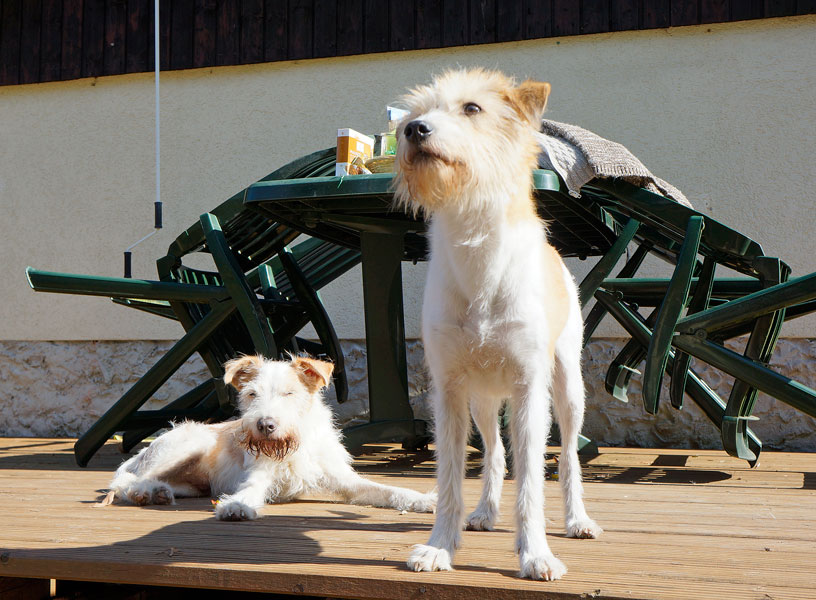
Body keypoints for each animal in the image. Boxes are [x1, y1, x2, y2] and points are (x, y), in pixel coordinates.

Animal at [109, 355, 436, 520]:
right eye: (252, 394)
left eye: (289, 394)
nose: (265, 425)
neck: (294, 445)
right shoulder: (259, 475)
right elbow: (251, 490)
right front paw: (237, 506)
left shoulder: (346, 481)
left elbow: (387, 489)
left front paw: (421, 499)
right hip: (189, 445)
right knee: (125, 482)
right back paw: (144, 492)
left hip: (192, 480)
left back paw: (159, 492)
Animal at [394, 68, 601, 580]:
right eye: (416, 112)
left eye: (472, 108)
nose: (413, 130)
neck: (478, 253)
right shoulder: (448, 390)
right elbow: (450, 476)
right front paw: (440, 546)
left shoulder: (530, 389)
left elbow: (532, 481)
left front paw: (535, 553)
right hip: (483, 400)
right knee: (494, 453)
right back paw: (486, 510)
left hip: (568, 388)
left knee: (569, 456)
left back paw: (577, 519)